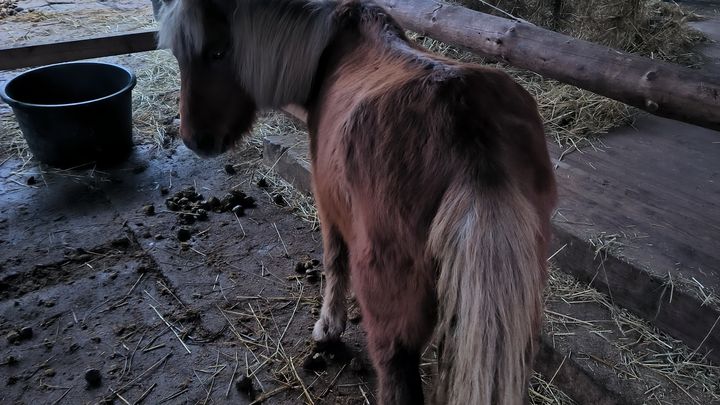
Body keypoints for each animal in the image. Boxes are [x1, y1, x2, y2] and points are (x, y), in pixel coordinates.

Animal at [158, 0, 557, 403]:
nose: (195, 139)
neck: (333, 45)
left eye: (217, 52)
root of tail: (471, 136)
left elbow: (335, 260)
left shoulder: (327, 202)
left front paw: (327, 327)